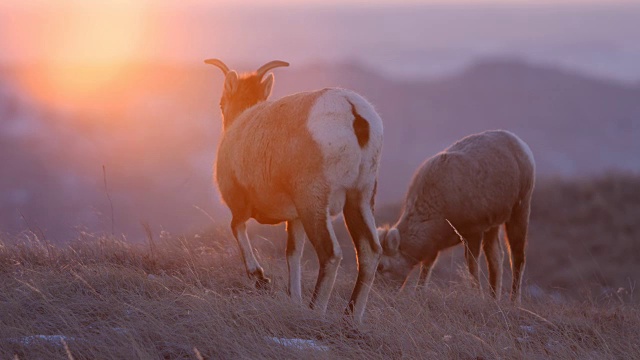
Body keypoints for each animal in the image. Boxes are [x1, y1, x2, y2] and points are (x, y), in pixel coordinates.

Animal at [208, 59, 382, 324]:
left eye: (220, 103)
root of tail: (353, 112)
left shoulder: (241, 205)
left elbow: (237, 227)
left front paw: (260, 278)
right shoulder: (295, 218)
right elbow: (293, 253)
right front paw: (294, 298)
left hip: (314, 202)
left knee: (330, 253)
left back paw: (315, 310)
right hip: (359, 198)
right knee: (370, 251)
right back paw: (350, 318)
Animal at [378, 129, 532, 300]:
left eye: (381, 266)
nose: (378, 294)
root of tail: (522, 145)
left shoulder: (474, 231)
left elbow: (472, 264)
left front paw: (476, 294)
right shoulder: (435, 245)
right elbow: (427, 266)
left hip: (521, 208)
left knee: (517, 257)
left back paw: (513, 301)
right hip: (494, 225)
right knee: (496, 259)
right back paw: (493, 299)